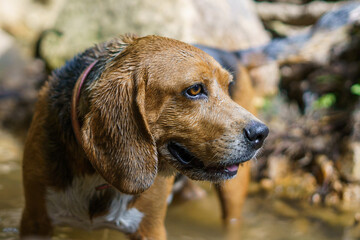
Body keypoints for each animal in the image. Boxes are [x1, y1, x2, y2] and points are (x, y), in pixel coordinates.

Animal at [19, 35, 268, 240]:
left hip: (233, 195)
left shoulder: (150, 228)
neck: (97, 175)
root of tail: (234, 52)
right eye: (194, 90)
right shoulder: (35, 220)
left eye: (228, 87)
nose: (261, 134)